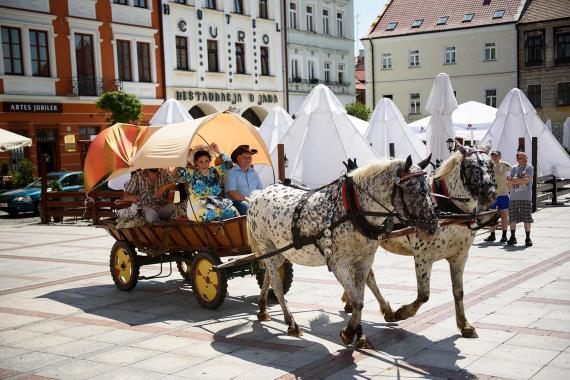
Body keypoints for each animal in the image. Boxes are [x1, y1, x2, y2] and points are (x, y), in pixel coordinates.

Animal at [246, 156, 438, 348]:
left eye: (429, 188)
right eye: (411, 189)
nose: (433, 227)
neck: (353, 209)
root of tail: (257, 195)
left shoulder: (364, 261)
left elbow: (360, 296)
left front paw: (359, 334)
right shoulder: (339, 264)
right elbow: (357, 300)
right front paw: (349, 332)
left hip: (280, 253)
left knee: (269, 275)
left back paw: (262, 309)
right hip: (268, 248)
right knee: (277, 285)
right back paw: (291, 323)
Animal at [342, 143, 496, 338]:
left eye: (491, 164)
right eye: (470, 166)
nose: (490, 193)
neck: (449, 209)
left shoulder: (460, 256)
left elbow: (458, 292)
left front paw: (464, 324)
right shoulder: (423, 256)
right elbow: (424, 295)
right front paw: (403, 313)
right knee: (366, 276)